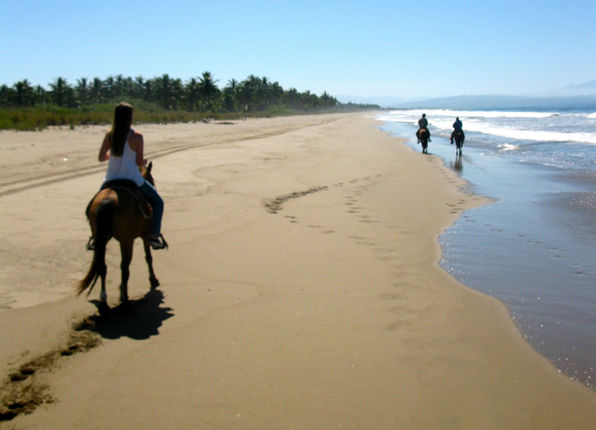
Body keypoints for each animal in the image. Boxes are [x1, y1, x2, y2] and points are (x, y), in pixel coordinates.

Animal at [77, 161, 163, 313]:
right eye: (152, 180)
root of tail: (107, 200)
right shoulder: (144, 235)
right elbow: (148, 258)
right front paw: (153, 279)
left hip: (101, 239)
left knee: (103, 266)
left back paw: (104, 302)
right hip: (127, 240)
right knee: (124, 267)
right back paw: (125, 300)